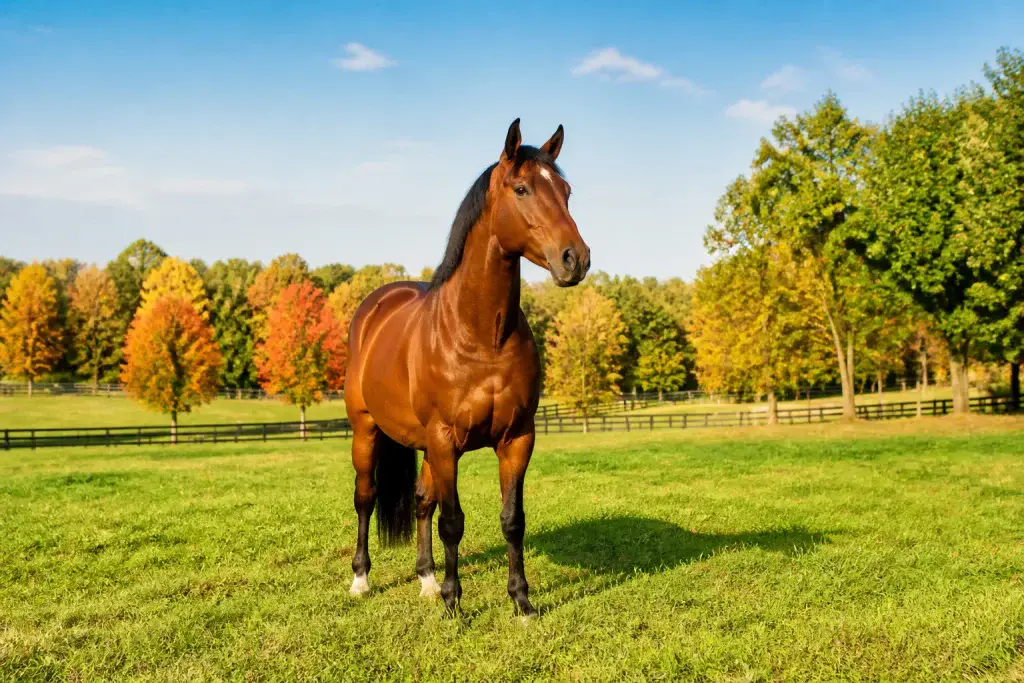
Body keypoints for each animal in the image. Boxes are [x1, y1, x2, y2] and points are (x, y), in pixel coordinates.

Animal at [343, 119, 590, 616]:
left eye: (567, 191)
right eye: (521, 188)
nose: (576, 259)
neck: (481, 336)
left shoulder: (517, 439)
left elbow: (512, 520)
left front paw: (522, 603)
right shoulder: (445, 440)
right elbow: (453, 521)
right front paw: (454, 605)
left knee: (421, 502)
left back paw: (426, 579)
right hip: (367, 430)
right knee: (366, 498)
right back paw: (362, 579)